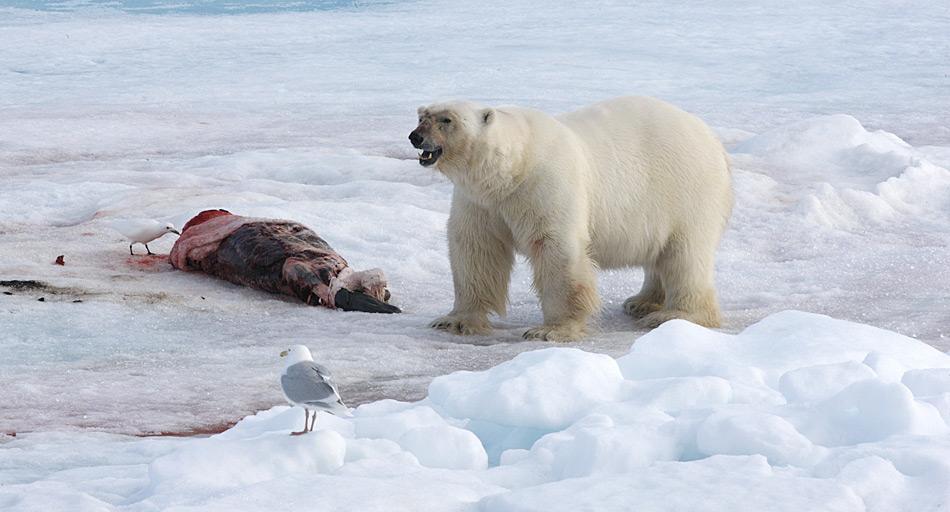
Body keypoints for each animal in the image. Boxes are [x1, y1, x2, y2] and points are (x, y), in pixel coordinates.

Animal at [410, 97, 736, 342]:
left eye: (446, 120)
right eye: (422, 115)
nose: (415, 136)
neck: (512, 170)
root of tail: (713, 140)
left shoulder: (544, 185)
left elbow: (557, 251)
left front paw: (550, 330)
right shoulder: (481, 203)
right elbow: (476, 250)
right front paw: (454, 321)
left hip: (684, 190)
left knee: (684, 255)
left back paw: (676, 314)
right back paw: (641, 301)